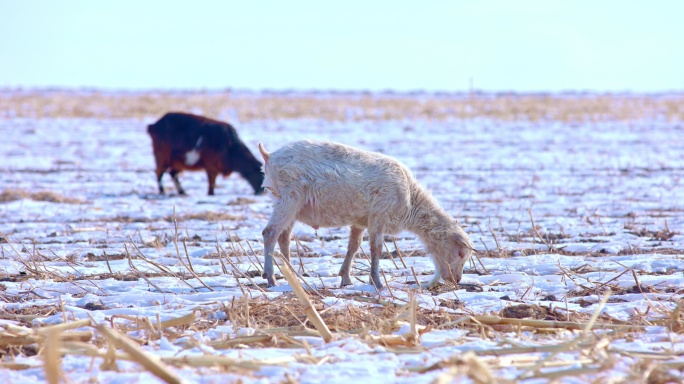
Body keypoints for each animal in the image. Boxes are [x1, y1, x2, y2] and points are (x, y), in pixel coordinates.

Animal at [260, 140, 472, 288]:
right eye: (460, 253)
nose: (457, 279)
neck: (412, 202)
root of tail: (269, 156)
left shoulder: (360, 221)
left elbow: (353, 247)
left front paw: (346, 278)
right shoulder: (379, 216)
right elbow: (376, 249)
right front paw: (376, 282)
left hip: (286, 202)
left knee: (284, 237)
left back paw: (292, 275)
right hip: (290, 198)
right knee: (269, 233)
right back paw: (271, 278)